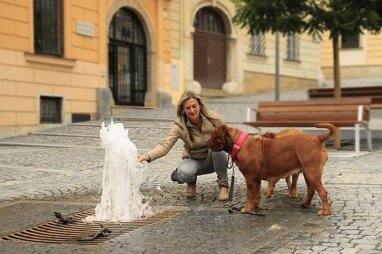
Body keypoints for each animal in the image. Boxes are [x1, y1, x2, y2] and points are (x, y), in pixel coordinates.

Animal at [207, 122, 336, 215]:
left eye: (214, 136)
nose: (206, 143)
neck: (239, 144)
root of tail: (318, 138)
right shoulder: (256, 179)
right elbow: (256, 194)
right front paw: (255, 206)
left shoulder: (250, 178)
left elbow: (250, 195)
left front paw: (247, 209)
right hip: (307, 173)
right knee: (311, 190)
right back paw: (305, 204)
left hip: (312, 173)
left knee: (323, 192)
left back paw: (325, 211)